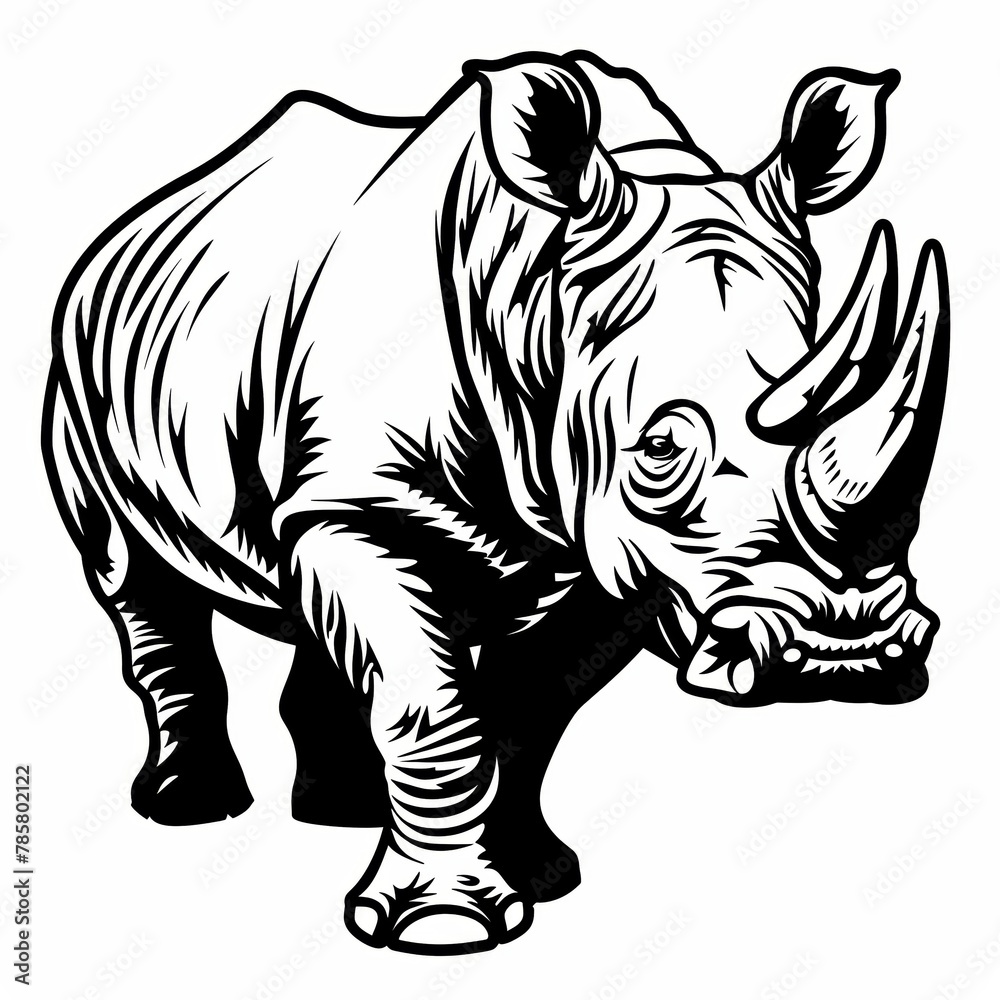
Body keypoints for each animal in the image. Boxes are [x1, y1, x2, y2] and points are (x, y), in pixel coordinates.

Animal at [42, 50, 949, 954]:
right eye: (658, 451)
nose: (845, 652)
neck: (533, 300)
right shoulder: (368, 506)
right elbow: (430, 711)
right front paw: (440, 928)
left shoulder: (604, 547)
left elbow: (530, 704)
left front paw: (538, 876)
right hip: (77, 369)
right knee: (134, 576)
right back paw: (191, 808)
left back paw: (342, 812)